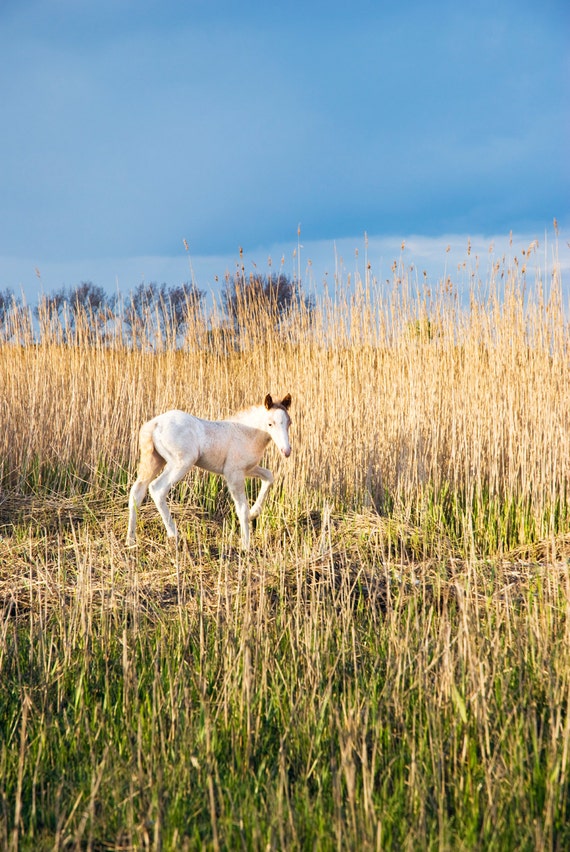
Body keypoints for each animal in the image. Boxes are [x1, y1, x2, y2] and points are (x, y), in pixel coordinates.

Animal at [126, 394, 290, 548]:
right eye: (270, 423)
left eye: (289, 422)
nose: (286, 451)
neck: (246, 433)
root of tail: (155, 423)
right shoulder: (234, 473)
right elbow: (242, 509)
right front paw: (246, 546)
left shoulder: (248, 469)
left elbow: (269, 476)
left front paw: (254, 513)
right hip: (181, 463)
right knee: (157, 488)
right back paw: (174, 536)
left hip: (154, 460)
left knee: (137, 491)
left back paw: (131, 540)